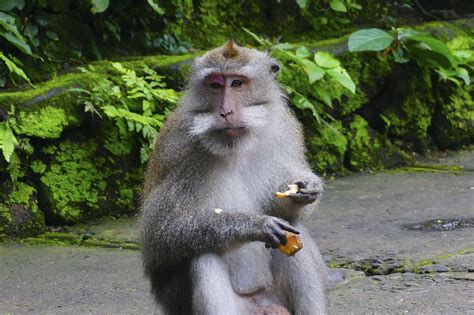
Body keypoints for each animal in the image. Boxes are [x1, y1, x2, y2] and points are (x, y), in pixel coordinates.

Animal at [139, 40, 328, 314]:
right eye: (215, 85)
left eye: (237, 83)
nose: (225, 111)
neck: (235, 147)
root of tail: (261, 303)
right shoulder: (179, 153)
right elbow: (162, 234)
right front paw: (256, 225)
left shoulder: (286, 127)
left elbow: (285, 210)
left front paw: (308, 189)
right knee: (204, 254)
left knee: (294, 229)